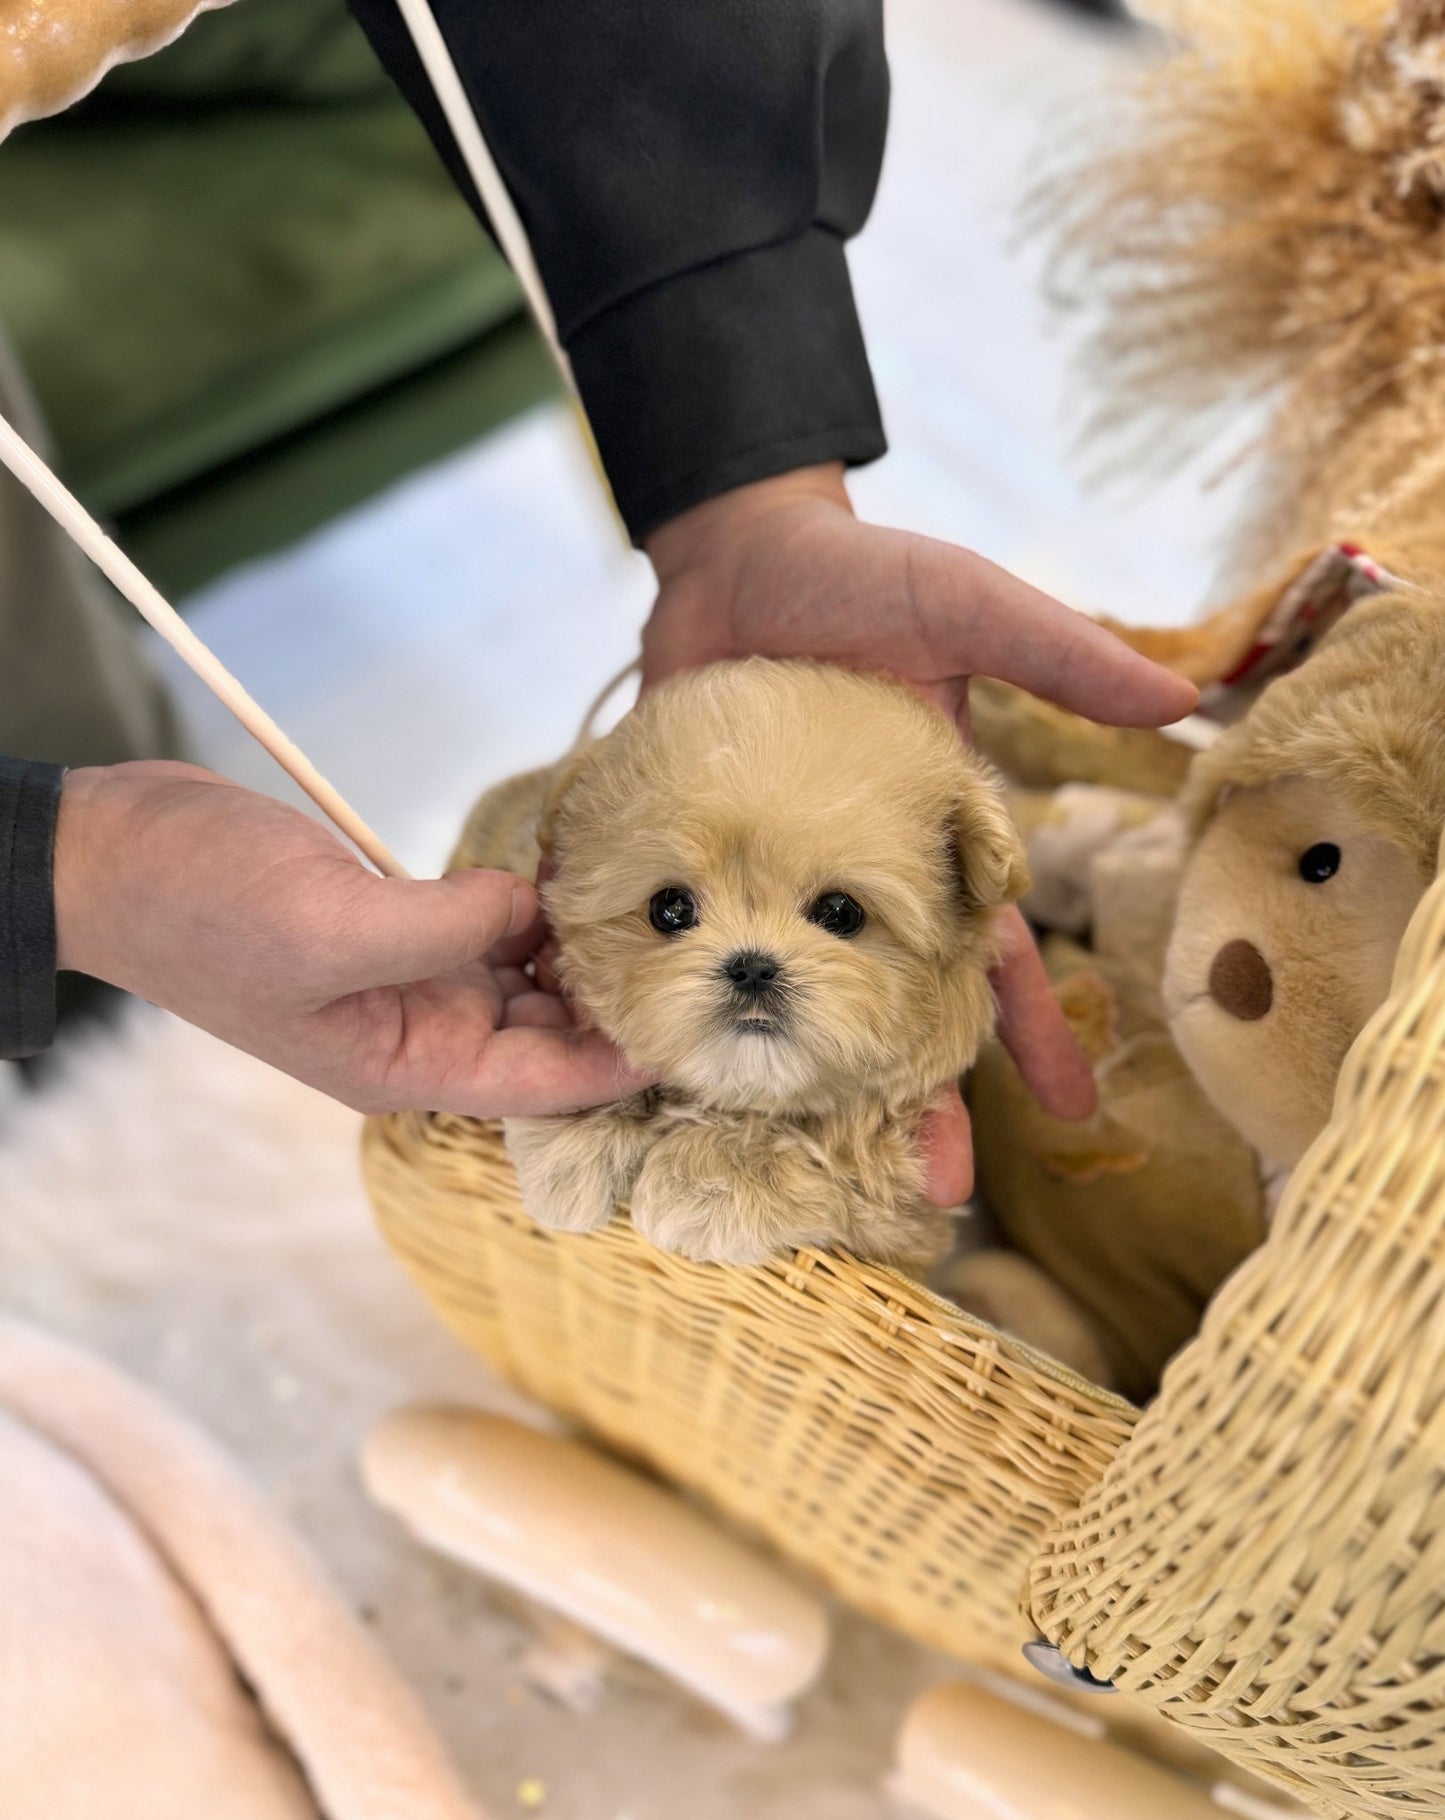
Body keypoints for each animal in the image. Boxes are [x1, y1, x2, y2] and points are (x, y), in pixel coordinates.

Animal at [505, 662, 1026, 1274]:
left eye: (840, 912)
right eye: (670, 908)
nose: (752, 967)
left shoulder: (908, 1221)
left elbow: (849, 1157)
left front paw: (717, 1178)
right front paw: (581, 1135)